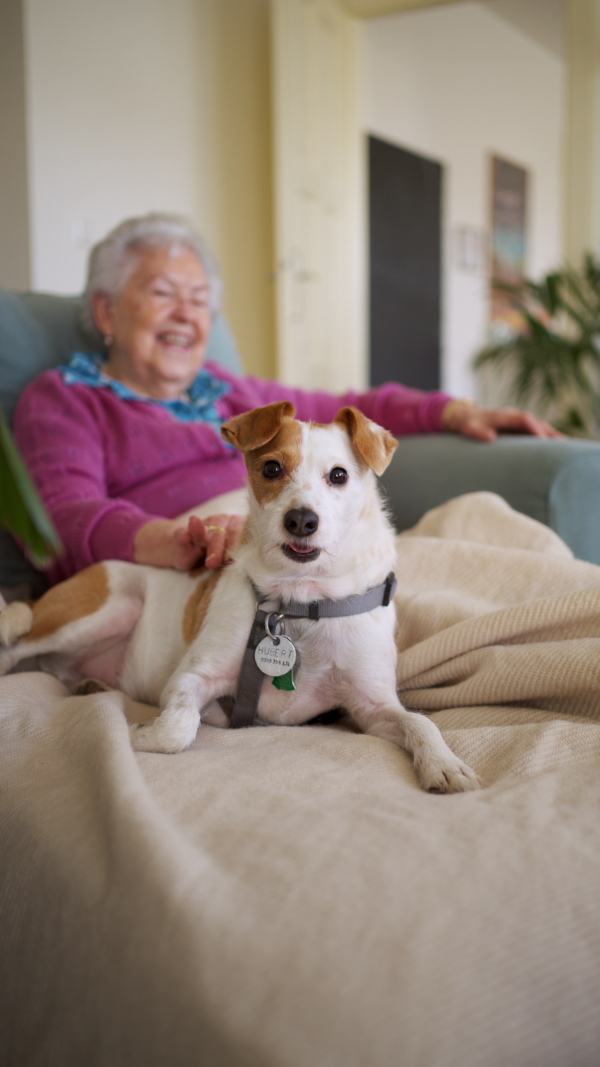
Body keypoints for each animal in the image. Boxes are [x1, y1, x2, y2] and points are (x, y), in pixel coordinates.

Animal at [0, 401, 478, 793]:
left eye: (339, 475)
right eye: (271, 469)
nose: (301, 520)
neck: (298, 604)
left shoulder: (372, 707)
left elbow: (418, 720)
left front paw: (444, 763)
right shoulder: (192, 677)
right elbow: (178, 729)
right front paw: (140, 734)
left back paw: (88, 684)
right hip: (102, 609)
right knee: (19, 649)